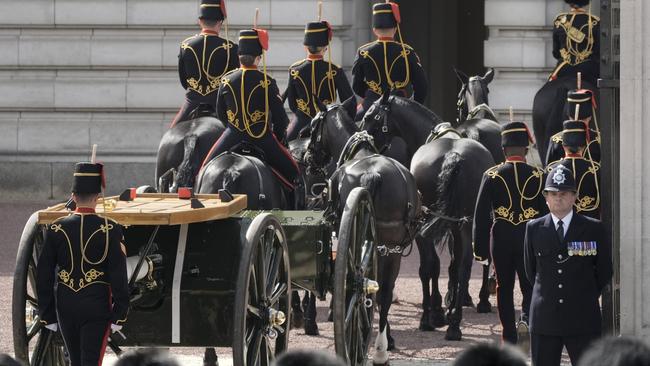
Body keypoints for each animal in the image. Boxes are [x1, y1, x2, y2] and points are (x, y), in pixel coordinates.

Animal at [306, 101, 420, 364]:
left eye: (313, 125)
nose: (308, 157)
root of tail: (373, 174)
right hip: (391, 247)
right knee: (383, 291)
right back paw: (380, 348)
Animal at [408, 126, 494, 340]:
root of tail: (454, 156)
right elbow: (453, 265)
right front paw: (447, 306)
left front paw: (438, 309)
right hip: (467, 222)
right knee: (463, 265)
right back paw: (454, 322)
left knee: (435, 265)